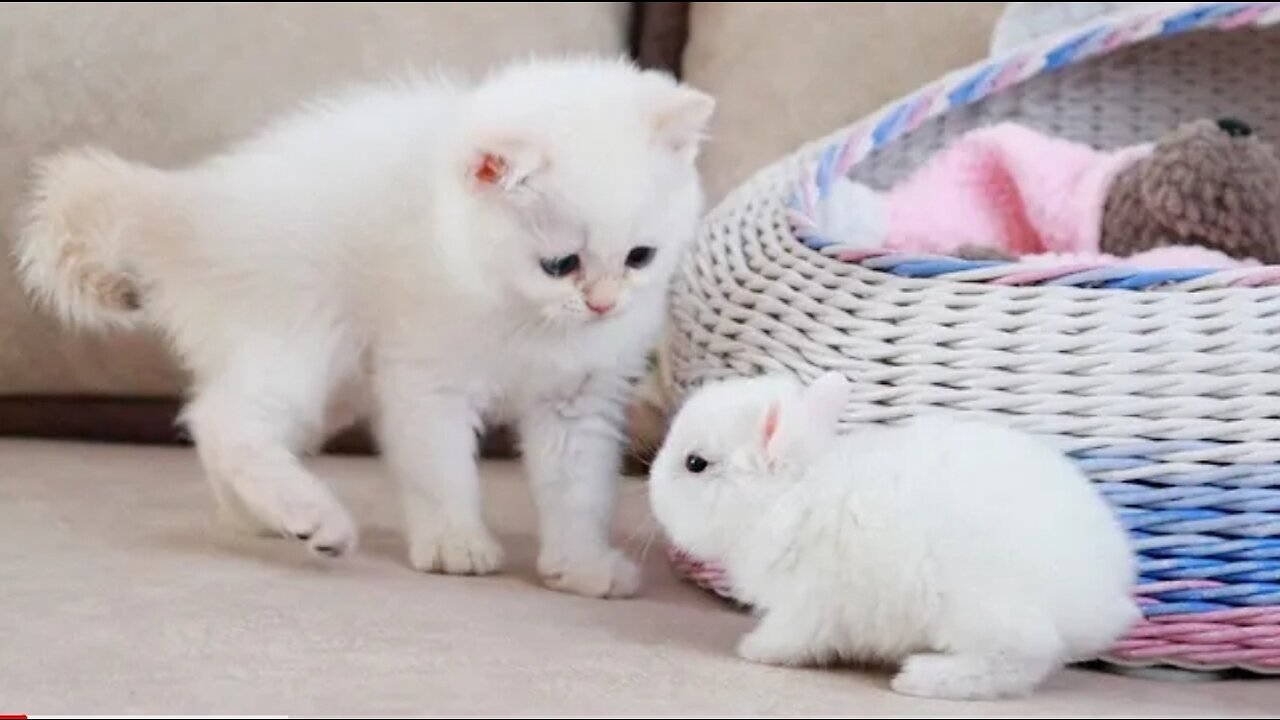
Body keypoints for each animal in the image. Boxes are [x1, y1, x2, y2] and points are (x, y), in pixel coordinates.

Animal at [15, 54, 716, 594]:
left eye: (640, 257)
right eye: (561, 264)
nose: (603, 303)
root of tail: (193, 202)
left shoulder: (580, 401)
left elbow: (579, 490)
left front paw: (580, 566)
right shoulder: (425, 381)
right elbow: (440, 470)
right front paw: (456, 543)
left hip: (333, 385)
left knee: (220, 429)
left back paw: (258, 518)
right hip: (302, 340)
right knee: (224, 421)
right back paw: (312, 516)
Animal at [650, 368, 1141, 696]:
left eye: (695, 464)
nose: (652, 492)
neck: (789, 494)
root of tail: (1103, 601)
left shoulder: (807, 605)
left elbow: (794, 638)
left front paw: (754, 650)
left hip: (981, 613)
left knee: (1019, 660)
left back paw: (920, 678)